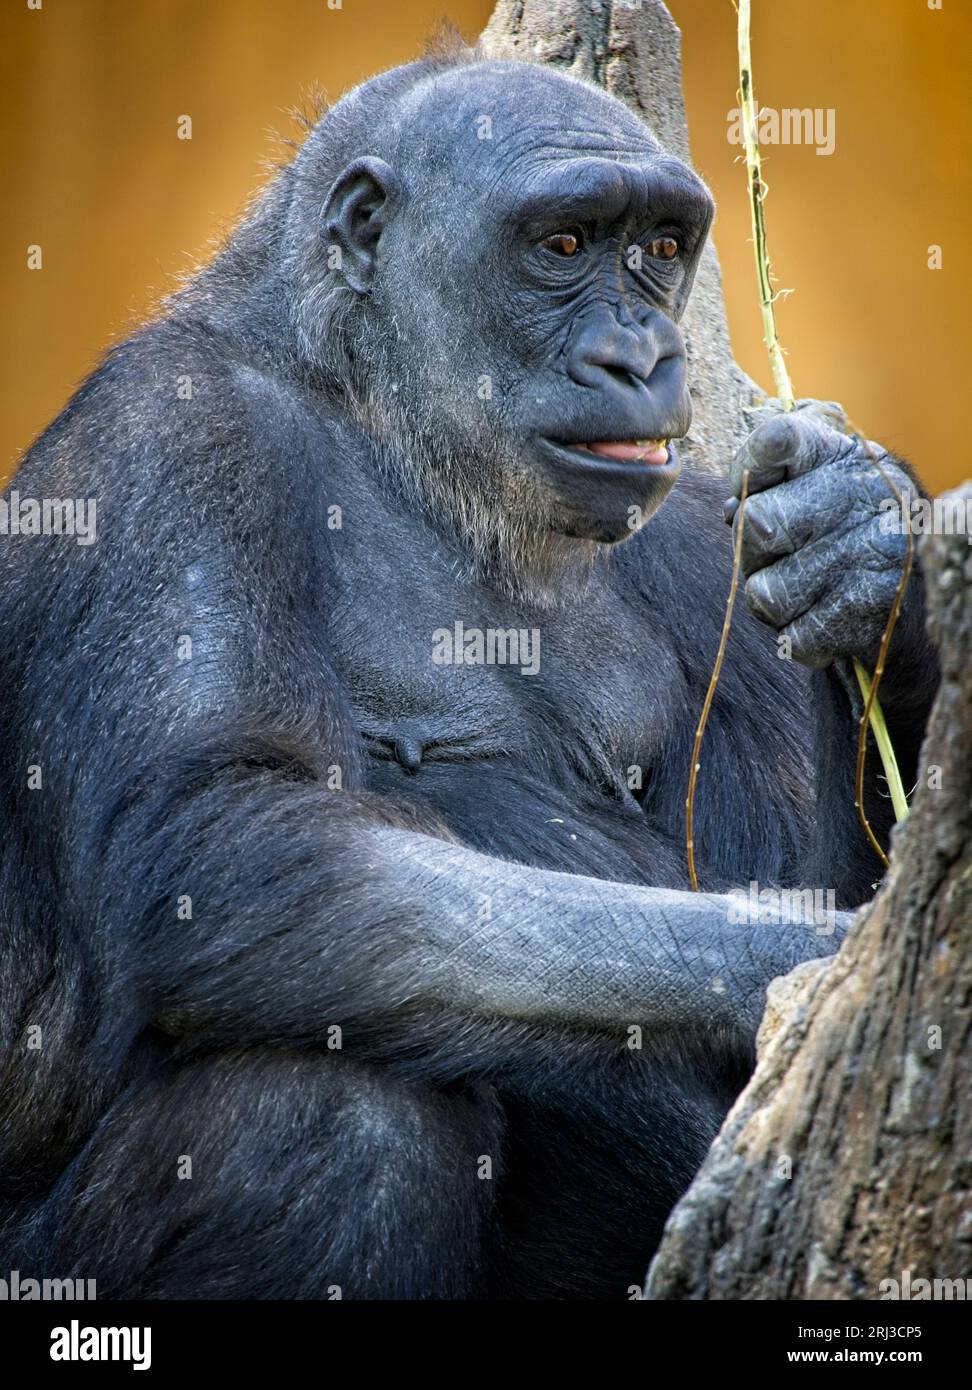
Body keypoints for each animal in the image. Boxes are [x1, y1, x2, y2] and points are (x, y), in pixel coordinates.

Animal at [0, 46, 940, 1301]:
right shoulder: (169, 443)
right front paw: (794, 965)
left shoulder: (705, 532)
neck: (377, 415)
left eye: (658, 248)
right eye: (563, 244)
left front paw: (869, 541)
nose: (643, 352)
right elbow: (213, 831)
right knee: (328, 1114)